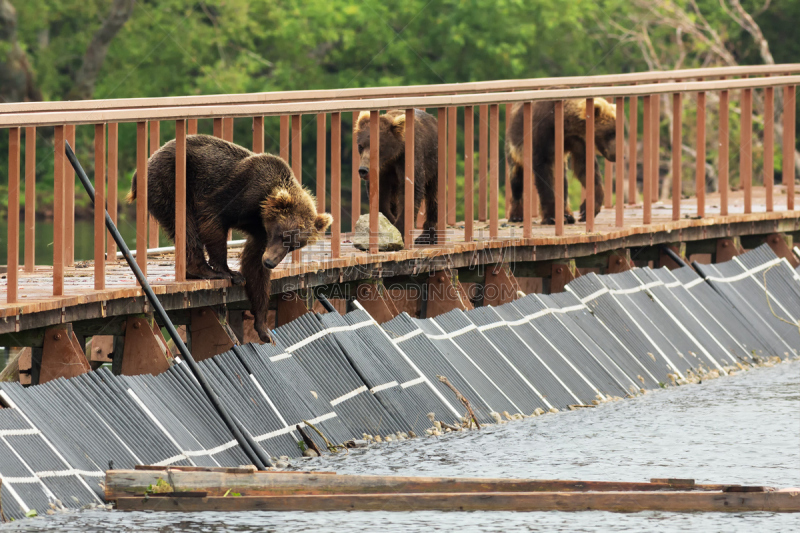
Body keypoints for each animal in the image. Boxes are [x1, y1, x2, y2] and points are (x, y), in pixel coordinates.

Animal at [127, 133, 332, 340]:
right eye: (282, 235)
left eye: (294, 246)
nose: (271, 262)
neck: (262, 207)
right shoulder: (242, 189)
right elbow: (212, 216)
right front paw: (230, 272)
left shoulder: (261, 230)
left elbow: (255, 265)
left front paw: (263, 326)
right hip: (170, 180)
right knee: (184, 223)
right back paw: (203, 269)